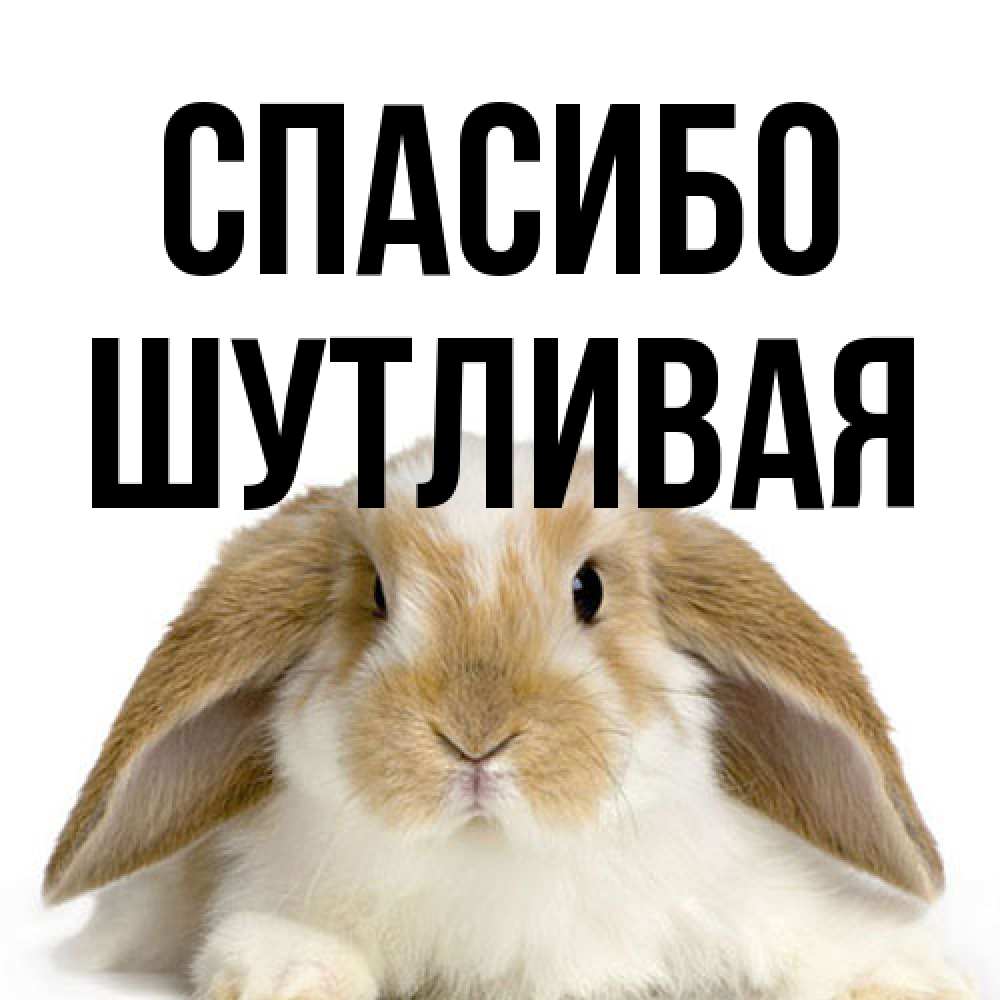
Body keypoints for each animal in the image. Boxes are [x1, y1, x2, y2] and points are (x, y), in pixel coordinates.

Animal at [45, 436, 975, 1000]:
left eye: (589, 589)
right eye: (376, 596)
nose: (475, 737)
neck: (496, 857)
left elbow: (817, 939)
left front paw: (910, 978)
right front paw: (291, 976)